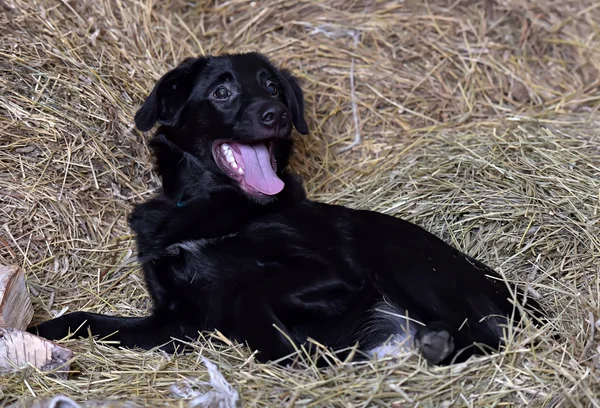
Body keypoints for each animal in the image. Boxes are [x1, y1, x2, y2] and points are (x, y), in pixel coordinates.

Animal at [29, 51, 548, 366]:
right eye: (221, 92)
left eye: (273, 87)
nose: (275, 114)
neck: (212, 204)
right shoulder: (175, 321)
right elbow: (84, 319)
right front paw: (37, 331)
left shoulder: (337, 270)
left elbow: (251, 295)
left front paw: (290, 349)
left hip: (405, 258)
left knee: (486, 338)